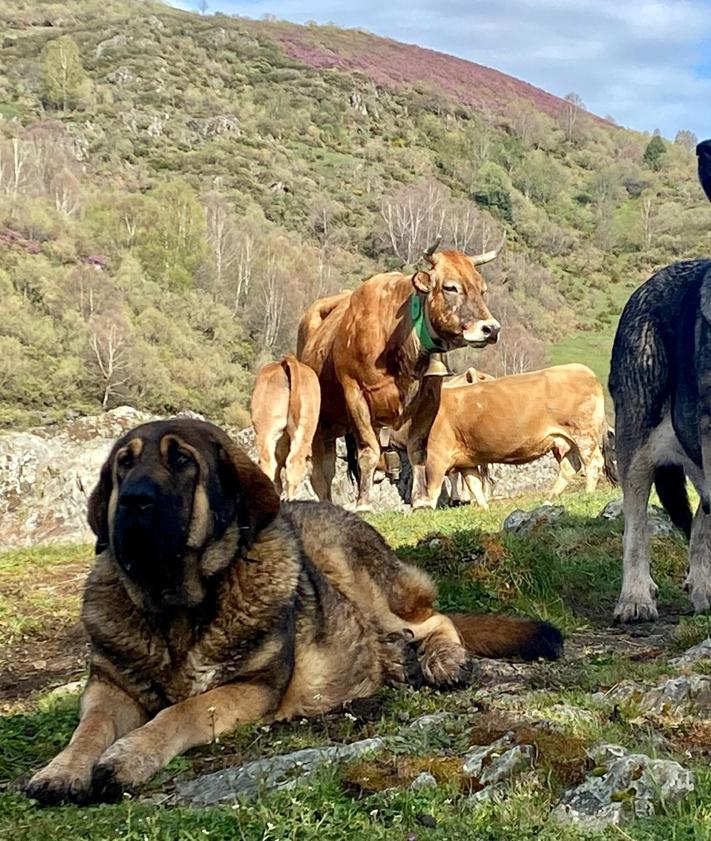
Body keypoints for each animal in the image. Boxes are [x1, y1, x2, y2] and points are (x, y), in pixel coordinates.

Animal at [26, 416, 560, 804]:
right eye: (123, 464)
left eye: (182, 461)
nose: (133, 501)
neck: (175, 609)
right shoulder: (109, 687)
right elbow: (90, 727)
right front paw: (62, 768)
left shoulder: (251, 688)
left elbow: (182, 711)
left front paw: (128, 755)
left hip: (356, 575)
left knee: (435, 619)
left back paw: (441, 659)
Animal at [414, 360, 608, 506]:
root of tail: (584, 371)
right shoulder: (464, 458)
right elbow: (473, 483)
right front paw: (483, 508)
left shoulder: (436, 455)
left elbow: (432, 490)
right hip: (563, 440)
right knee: (571, 466)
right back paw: (550, 498)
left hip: (584, 433)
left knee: (593, 463)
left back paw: (588, 494)